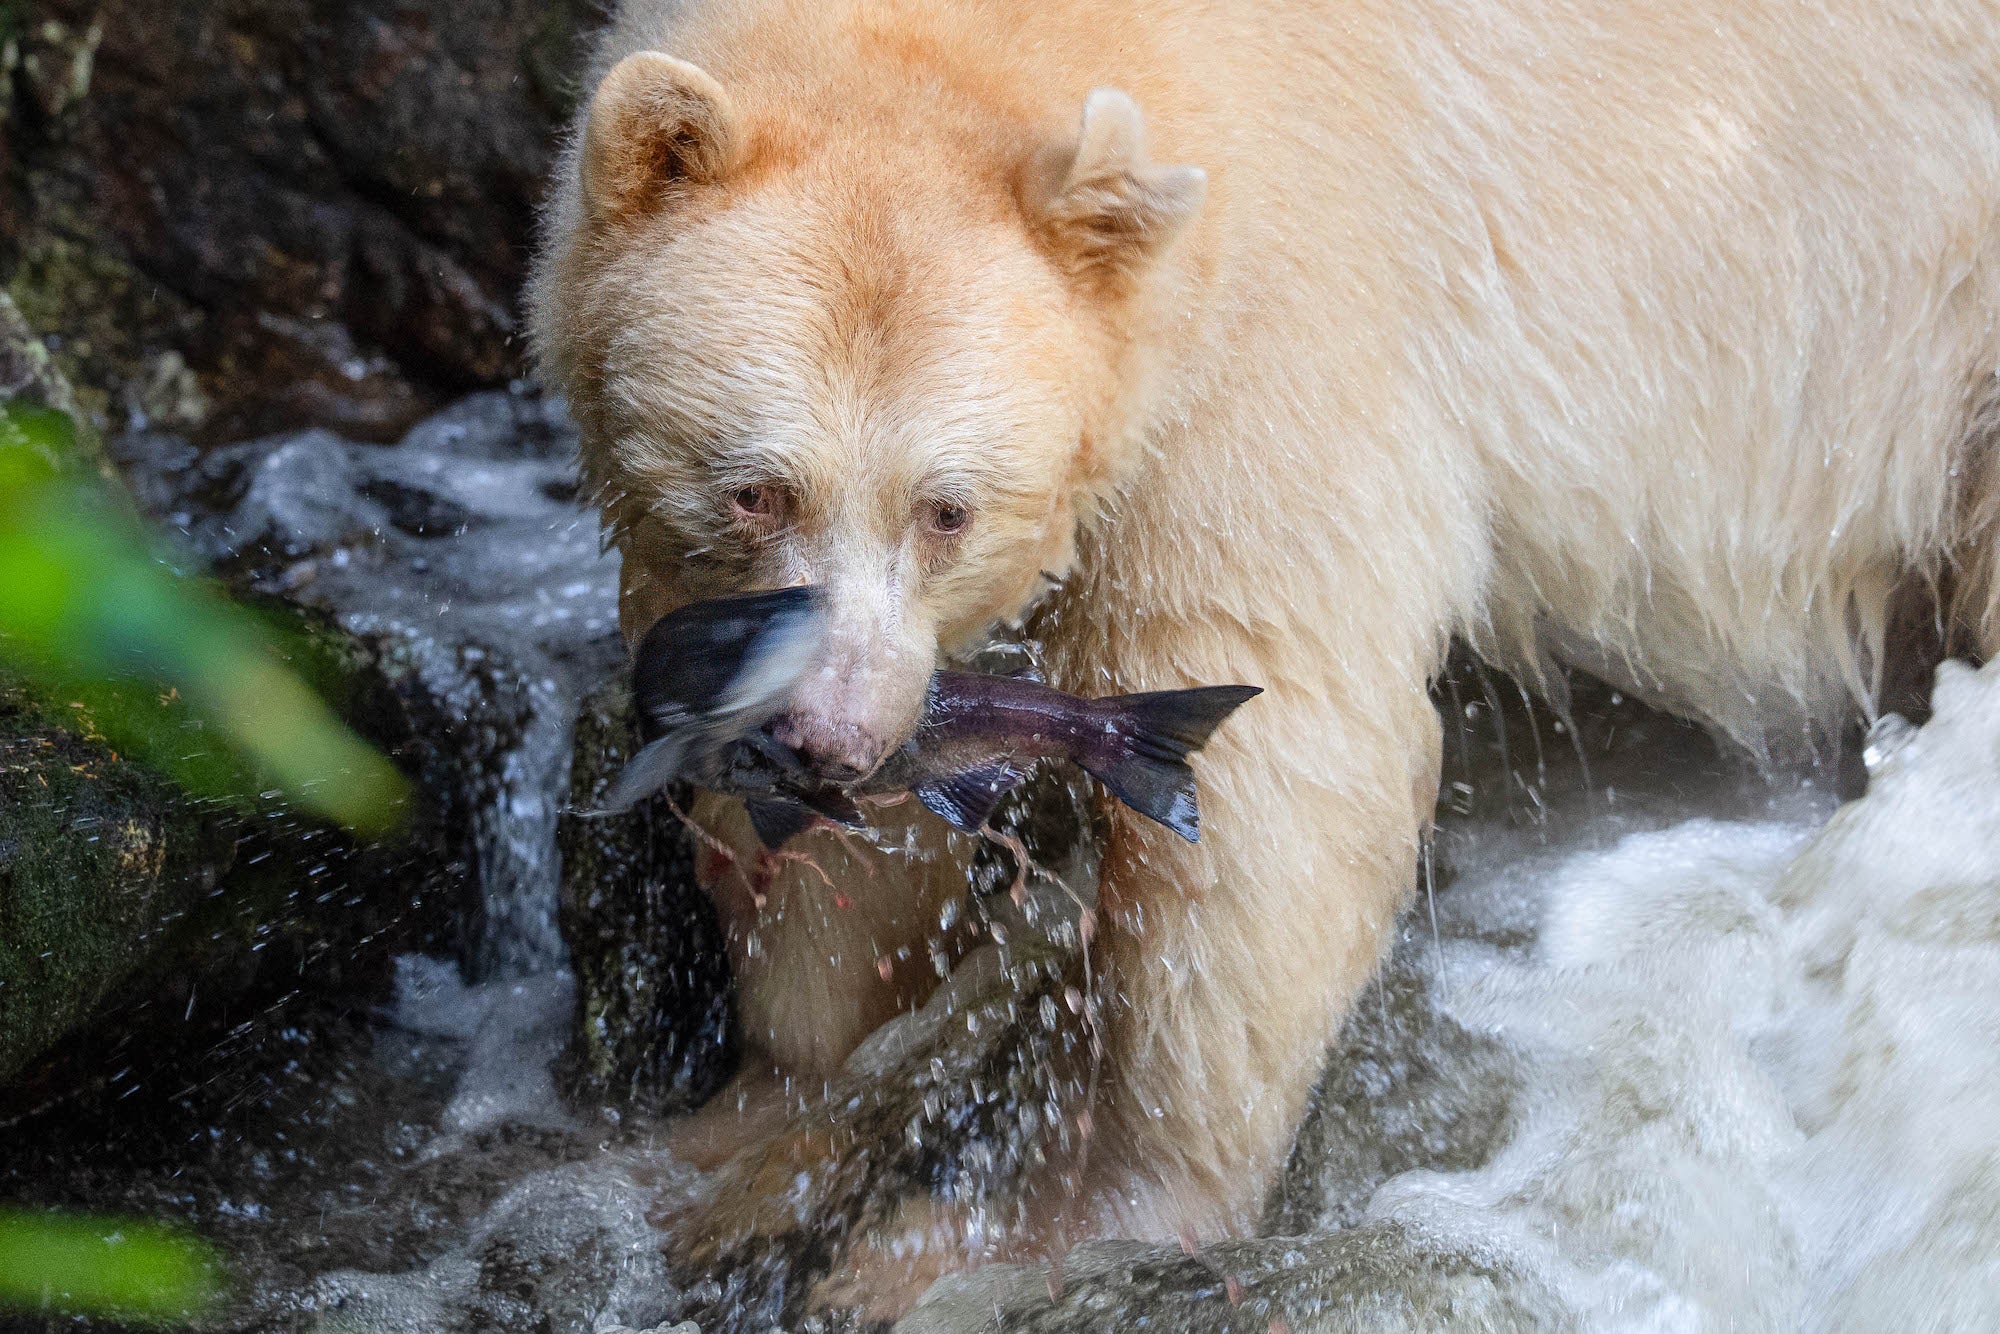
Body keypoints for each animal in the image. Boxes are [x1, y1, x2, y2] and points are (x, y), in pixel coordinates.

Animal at [531, 0, 2000, 1314]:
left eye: (945, 507)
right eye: (753, 488)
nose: (826, 738)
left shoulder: (1284, 323)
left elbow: (1273, 753)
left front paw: (1032, 1227)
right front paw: (735, 1131)